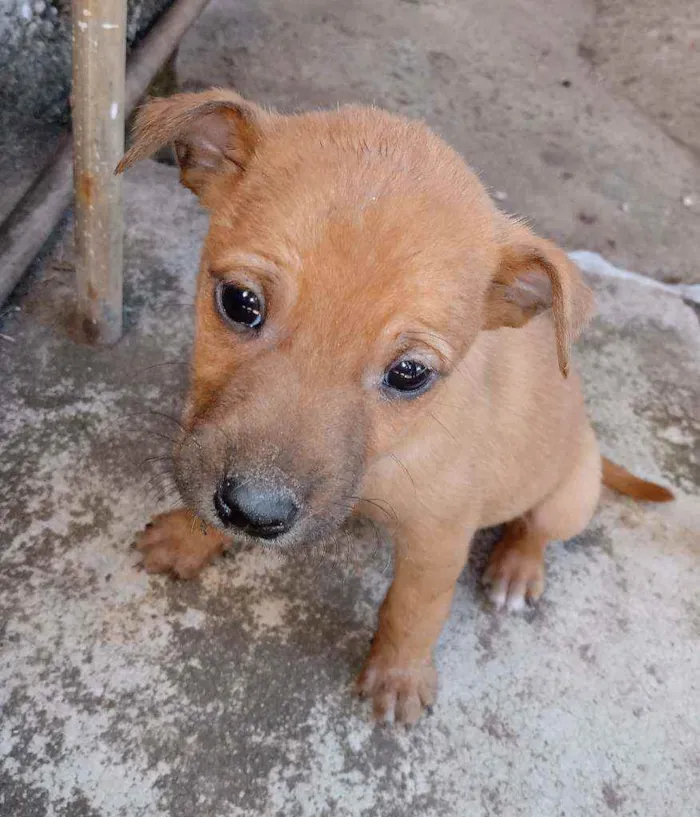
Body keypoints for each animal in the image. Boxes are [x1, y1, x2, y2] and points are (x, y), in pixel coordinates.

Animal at [116, 89, 672, 724]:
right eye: (239, 302)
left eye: (410, 373)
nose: (254, 514)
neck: (387, 456)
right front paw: (189, 537)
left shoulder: (438, 539)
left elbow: (414, 610)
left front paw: (398, 677)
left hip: (571, 494)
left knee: (537, 528)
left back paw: (516, 567)